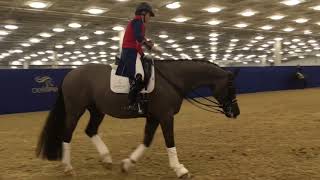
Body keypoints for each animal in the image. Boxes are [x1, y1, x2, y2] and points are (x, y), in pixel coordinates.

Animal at [35, 59, 240, 179]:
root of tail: (70, 74)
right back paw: (68, 167)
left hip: (97, 111)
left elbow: (147, 140)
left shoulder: (154, 117)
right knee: (67, 135)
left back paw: (106, 159)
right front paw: (180, 169)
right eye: (231, 86)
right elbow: (170, 141)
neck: (172, 79)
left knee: (90, 130)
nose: (236, 113)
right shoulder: (165, 117)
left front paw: (127, 164)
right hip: (75, 111)